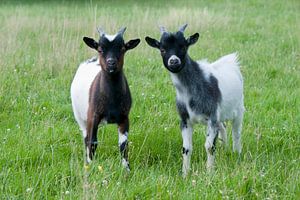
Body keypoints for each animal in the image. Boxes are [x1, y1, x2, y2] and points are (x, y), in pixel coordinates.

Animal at [70, 27, 141, 170]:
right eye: (100, 49)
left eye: (122, 48)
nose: (111, 63)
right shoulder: (93, 116)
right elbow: (92, 142)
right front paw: (91, 166)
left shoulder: (124, 117)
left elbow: (123, 145)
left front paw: (126, 169)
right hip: (80, 117)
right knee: (85, 137)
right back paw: (86, 162)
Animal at [145, 24, 244, 177]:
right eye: (162, 49)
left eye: (183, 47)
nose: (174, 61)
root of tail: (231, 60)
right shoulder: (185, 120)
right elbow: (186, 148)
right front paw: (185, 174)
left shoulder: (211, 117)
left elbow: (209, 146)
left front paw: (209, 173)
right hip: (219, 116)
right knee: (223, 127)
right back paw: (224, 149)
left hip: (238, 109)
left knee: (236, 133)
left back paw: (236, 154)